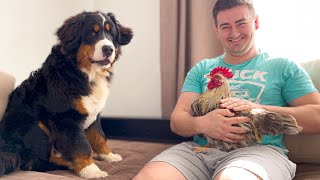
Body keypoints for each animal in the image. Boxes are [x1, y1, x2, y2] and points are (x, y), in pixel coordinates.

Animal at [0, 11, 132, 179]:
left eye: (112, 34)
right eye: (91, 32)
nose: (108, 49)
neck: (87, 74)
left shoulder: (94, 113)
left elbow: (99, 137)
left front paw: (109, 156)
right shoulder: (65, 118)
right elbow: (81, 145)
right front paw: (91, 170)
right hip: (36, 126)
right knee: (36, 163)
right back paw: (68, 162)